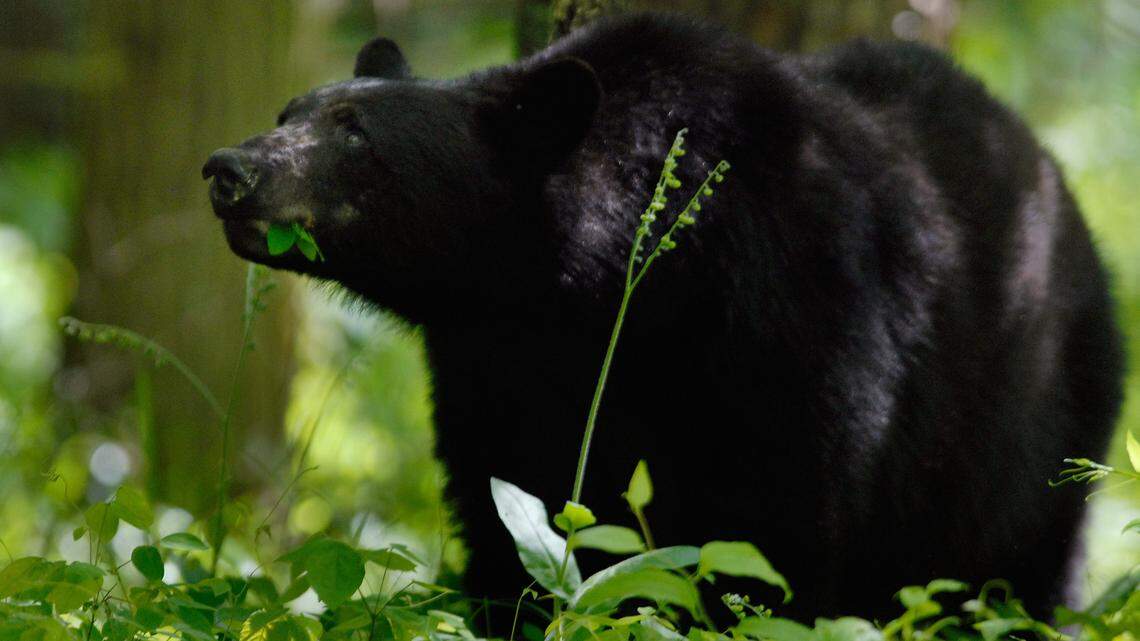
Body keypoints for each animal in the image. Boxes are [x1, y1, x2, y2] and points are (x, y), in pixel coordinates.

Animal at [202, 13, 1123, 621]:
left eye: (356, 133)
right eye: (288, 112)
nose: (229, 168)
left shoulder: (792, 315)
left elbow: (770, 534)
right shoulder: (493, 365)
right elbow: (509, 512)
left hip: (1035, 428)